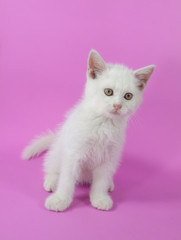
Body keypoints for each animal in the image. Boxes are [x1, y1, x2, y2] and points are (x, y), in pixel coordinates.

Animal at [21, 49, 155, 211]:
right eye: (108, 92)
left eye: (128, 96)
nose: (117, 105)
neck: (103, 123)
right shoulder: (73, 152)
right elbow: (67, 179)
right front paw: (60, 200)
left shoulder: (109, 156)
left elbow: (101, 180)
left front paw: (100, 198)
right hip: (58, 150)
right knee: (52, 166)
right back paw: (52, 180)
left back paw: (109, 184)